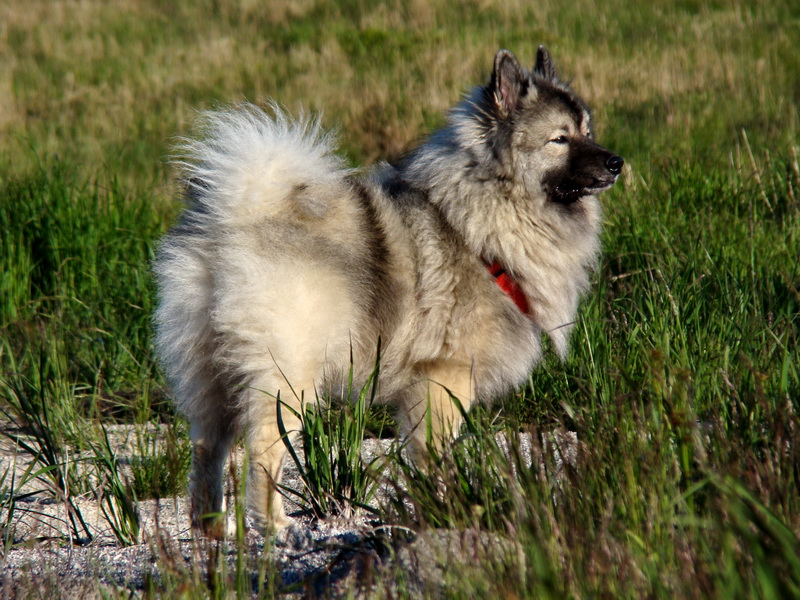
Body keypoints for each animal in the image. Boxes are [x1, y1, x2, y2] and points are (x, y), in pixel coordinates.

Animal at [153, 47, 620, 536]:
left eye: (588, 131)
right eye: (560, 140)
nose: (616, 162)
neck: (482, 214)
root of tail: (236, 217)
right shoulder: (444, 379)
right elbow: (435, 456)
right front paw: (444, 508)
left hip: (209, 371)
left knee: (208, 448)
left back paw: (210, 530)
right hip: (290, 375)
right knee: (264, 448)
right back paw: (274, 524)